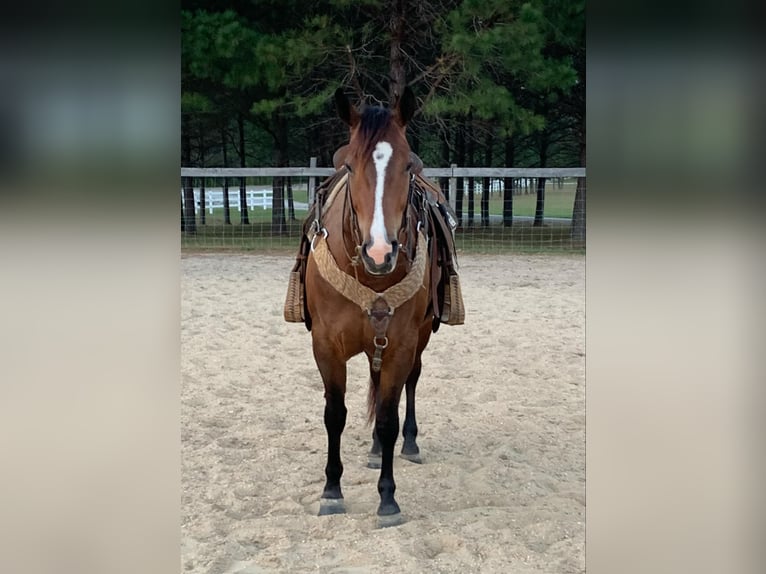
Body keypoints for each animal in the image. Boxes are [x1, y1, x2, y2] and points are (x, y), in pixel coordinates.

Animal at [290, 86, 463, 527]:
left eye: (408, 166)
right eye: (349, 166)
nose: (380, 252)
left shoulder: (401, 343)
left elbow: (387, 418)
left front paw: (387, 499)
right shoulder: (325, 345)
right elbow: (334, 414)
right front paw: (331, 491)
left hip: (417, 337)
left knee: (409, 385)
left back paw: (410, 443)